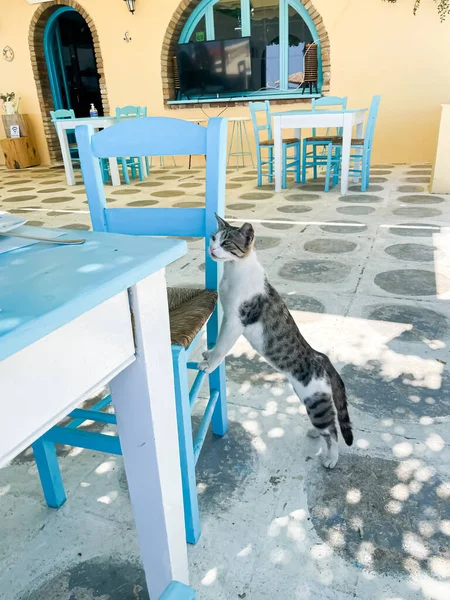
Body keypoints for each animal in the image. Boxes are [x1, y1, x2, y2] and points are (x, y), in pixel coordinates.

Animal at [199, 216, 354, 468]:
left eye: (226, 242)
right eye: (213, 238)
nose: (211, 249)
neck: (235, 271)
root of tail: (320, 356)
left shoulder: (236, 321)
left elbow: (223, 346)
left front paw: (210, 364)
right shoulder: (227, 317)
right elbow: (218, 342)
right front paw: (208, 354)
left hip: (315, 401)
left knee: (332, 431)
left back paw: (331, 458)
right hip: (310, 397)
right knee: (328, 422)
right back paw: (315, 433)